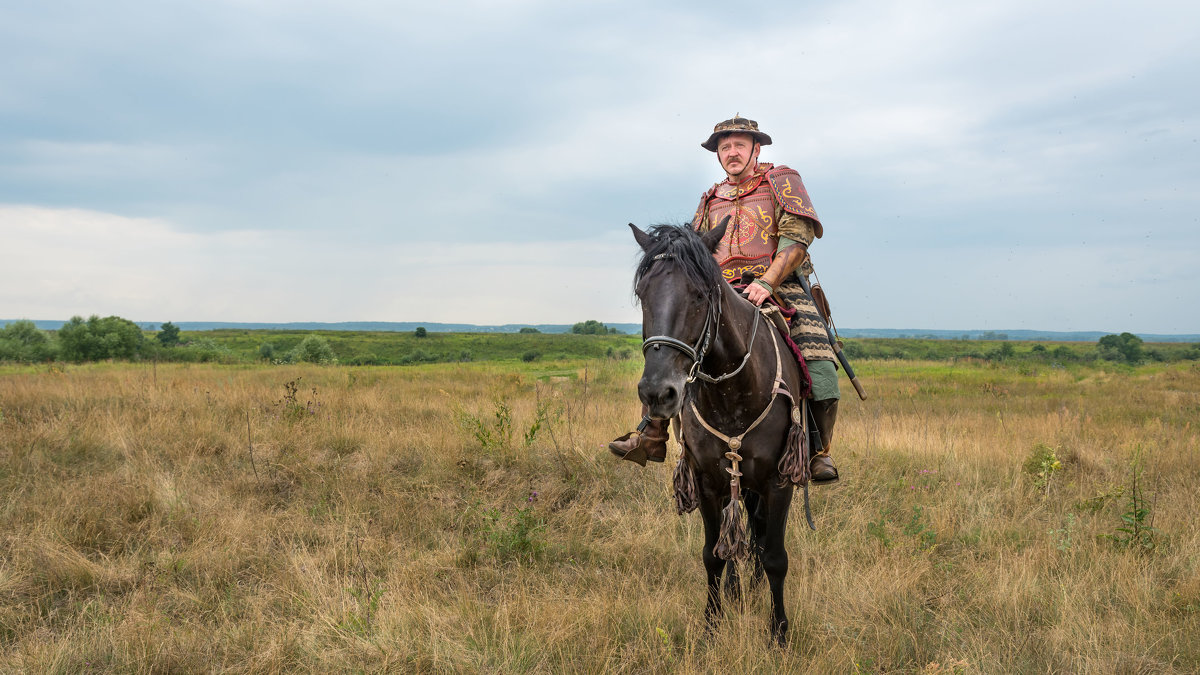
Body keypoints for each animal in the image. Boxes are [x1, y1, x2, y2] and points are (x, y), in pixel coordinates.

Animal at [628, 219, 806, 638]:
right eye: (643, 294)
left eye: (699, 294)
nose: (657, 392)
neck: (733, 392)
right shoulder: (707, 480)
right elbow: (713, 555)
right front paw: (712, 626)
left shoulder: (779, 480)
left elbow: (775, 556)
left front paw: (779, 632)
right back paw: (738, 590)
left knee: (758, 533)